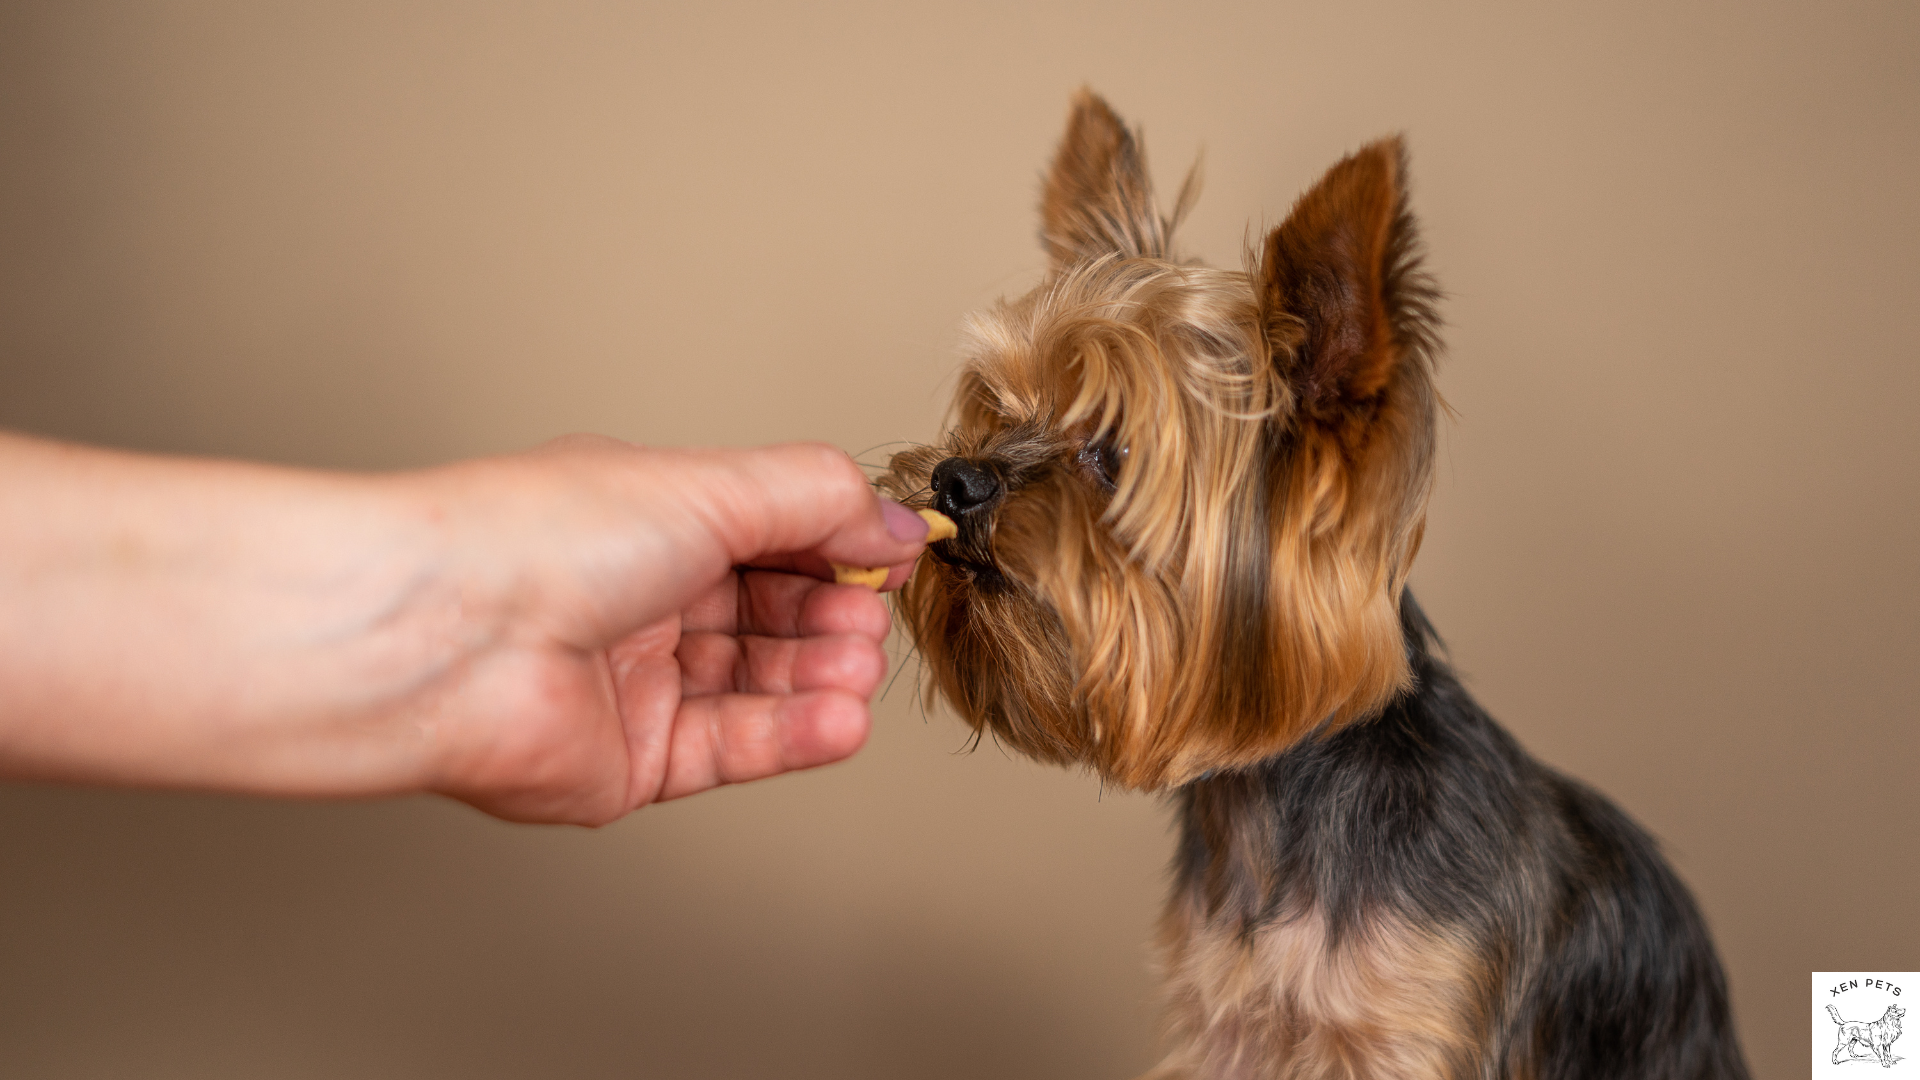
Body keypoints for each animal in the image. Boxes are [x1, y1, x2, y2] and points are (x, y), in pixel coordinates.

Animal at [883, 92, 1758, 1076]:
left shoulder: (1415, 1030)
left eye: (1112, 450)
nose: (955, 480)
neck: (1265, 812)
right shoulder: (1223, 1031)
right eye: (998, 409)